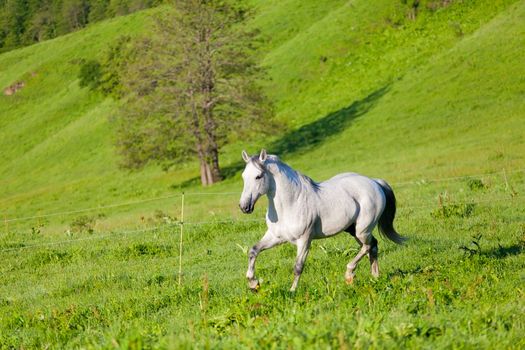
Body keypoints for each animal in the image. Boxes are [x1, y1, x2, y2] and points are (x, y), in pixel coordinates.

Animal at [239, 149, 404, 292]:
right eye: (243, 176)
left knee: (368, 246)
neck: (291, 203)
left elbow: (298, 266)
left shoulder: (304, 240)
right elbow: (253, 250)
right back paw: (375, 277)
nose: (244, 206)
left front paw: (292, 291)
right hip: (354, 230)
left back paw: (349, 274)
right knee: (372, 246)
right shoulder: (276, 237)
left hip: (362, 230)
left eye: (258, 176)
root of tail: (374, 182)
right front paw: (253, 283)